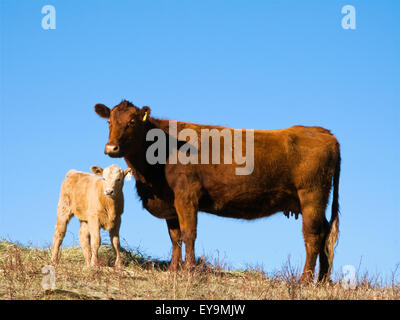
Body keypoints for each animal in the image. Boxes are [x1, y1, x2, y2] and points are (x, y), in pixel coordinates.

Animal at [94, 100, 340, 282]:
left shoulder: (186, 196)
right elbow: (175, 237)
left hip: (312, 196)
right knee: (326, 234)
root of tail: (323, 132)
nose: (111, 147)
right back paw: (321, 280)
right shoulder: (170, 203)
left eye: (132, 122)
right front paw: (173, 269)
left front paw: (189, 269)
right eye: (109, 121)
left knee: (313, 236)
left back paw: (305, 280)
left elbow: (188, 233)